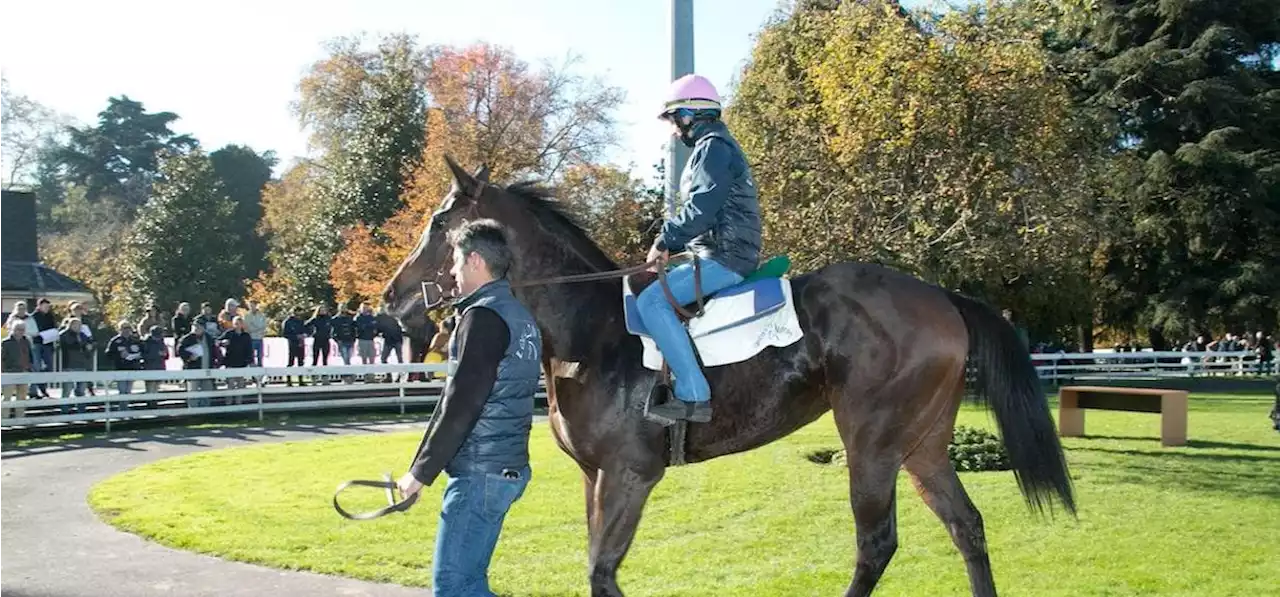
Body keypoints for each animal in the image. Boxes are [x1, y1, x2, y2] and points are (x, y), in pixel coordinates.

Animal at [384, 156, 1075, 594]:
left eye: (439, 223)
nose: (392, 297)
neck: (592, 331)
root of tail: (942, 297)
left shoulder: (631, 475)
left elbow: (601, 571)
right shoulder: (593, 476)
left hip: (873, 445)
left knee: (876, 544)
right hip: (923, 447)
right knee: (967, 527)